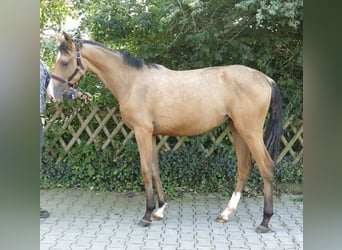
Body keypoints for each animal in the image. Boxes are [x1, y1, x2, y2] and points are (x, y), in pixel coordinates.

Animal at [46, 32, 282, 233]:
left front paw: (147, 214)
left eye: (65, 62)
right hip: (237, 129)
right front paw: (159, 210)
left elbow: (145, 171)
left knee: (266, 167)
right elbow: (154, 169)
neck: (132, 81)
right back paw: (226, 213)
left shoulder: (141, 132)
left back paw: (265, 221)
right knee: (244, 167)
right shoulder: (151, 134)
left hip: (250, 131)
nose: (50, 94)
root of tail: (266, 79)